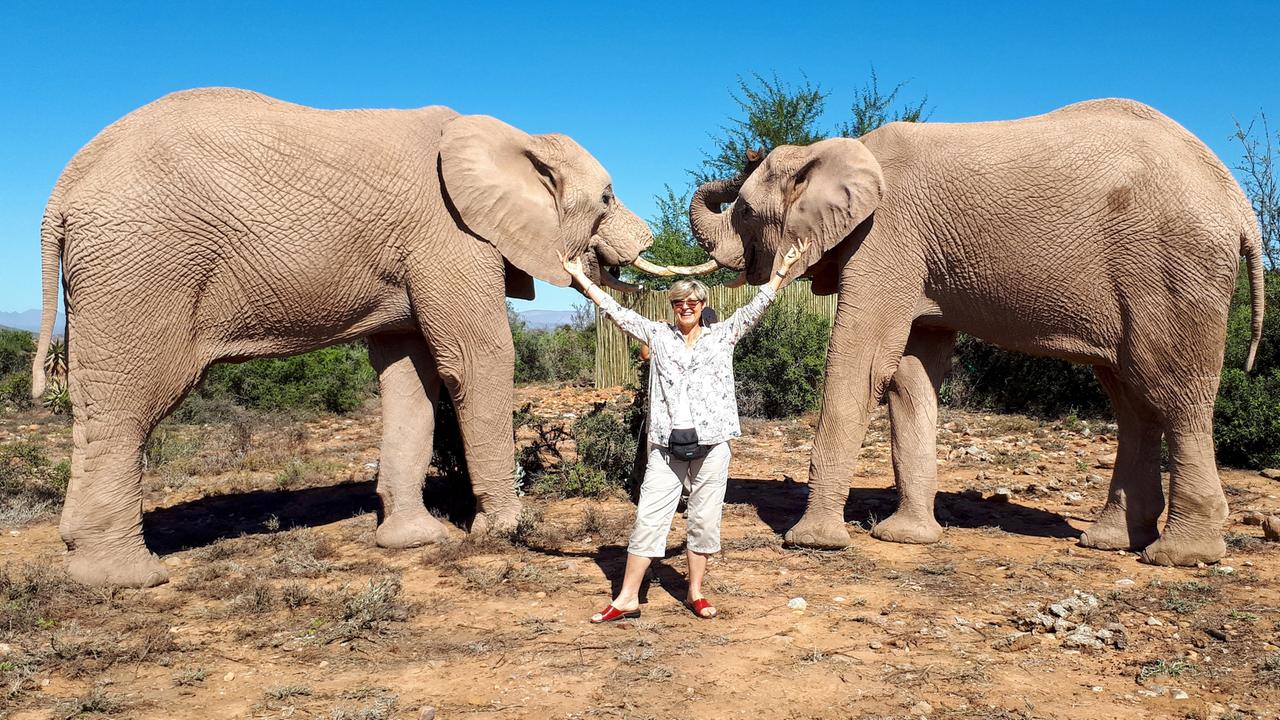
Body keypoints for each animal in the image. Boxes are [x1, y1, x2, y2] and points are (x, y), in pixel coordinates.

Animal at [32, 87, 650, 586]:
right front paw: (504, 532)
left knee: (99, 407)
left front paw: (417, 541)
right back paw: (127, 578)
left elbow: (411, 377)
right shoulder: (449, 235)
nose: (644, 242)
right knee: (131, 402)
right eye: (607, 198)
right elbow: (478, 359)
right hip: (141, 265)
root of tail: (62, 191)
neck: (515, 136)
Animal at [686, 96, 1264, 566]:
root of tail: (1242, 208)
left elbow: (862, 363)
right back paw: (1111, 542)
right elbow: (910, 375)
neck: (832, 151)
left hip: (1173, 270)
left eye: (745, 211)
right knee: (1131, 398)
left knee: (1173, 393)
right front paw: (906, 539)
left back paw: (1180, 555)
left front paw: (813, 542)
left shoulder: (886, 238)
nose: (749, 151)